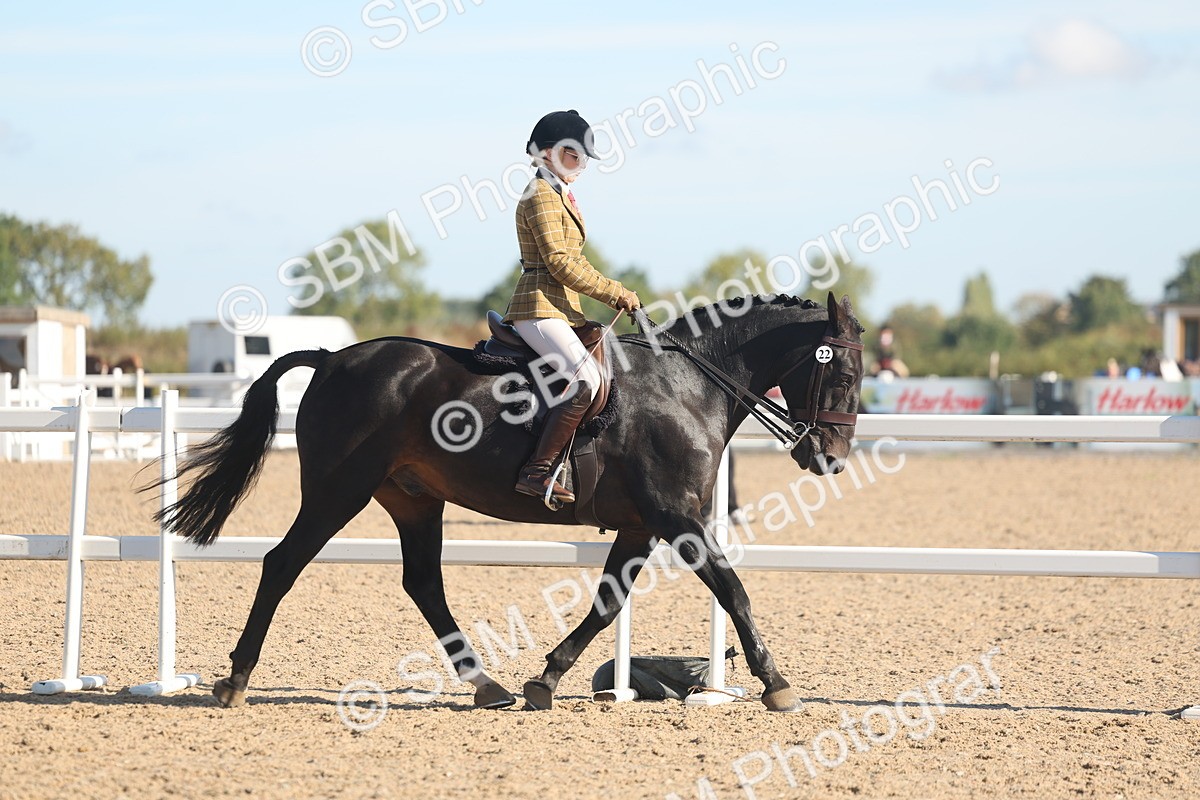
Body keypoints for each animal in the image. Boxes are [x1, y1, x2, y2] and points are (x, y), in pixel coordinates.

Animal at [157, 292, 864, 713]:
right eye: (844, 372)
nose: (830, 457)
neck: (687, 386)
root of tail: (332, 359)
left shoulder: (642, 527)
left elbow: (606, 605)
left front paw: (545, 680)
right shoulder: (677, 518)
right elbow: (734, 589)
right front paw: (777, 685)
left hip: (413, 499)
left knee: (424, 584)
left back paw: (489, 686)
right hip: (339, 491)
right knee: (283, 564)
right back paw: (234, 681)